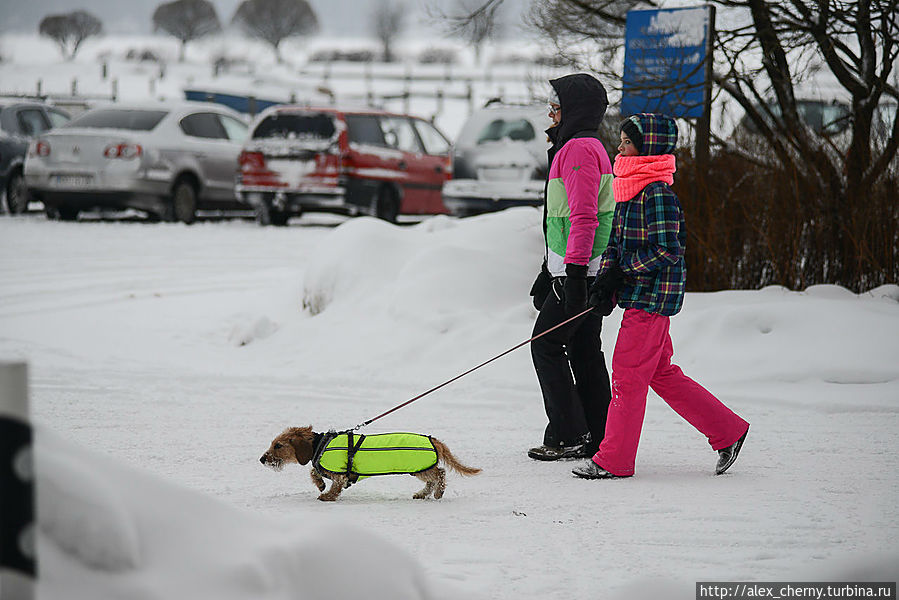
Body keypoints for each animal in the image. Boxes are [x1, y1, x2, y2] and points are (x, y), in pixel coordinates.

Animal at [260, 426, 482, 502]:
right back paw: (422, 494)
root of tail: (433, 439)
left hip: (421, 469)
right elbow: (314, 472)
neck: (319, 444)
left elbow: (334, 485)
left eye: (278, 445)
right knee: (433, 478)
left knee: (441, 473)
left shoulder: (339, 475)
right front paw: (321, 484)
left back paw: (438, 492)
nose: (262, 459)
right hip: (418, 469)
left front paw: (327, 495)